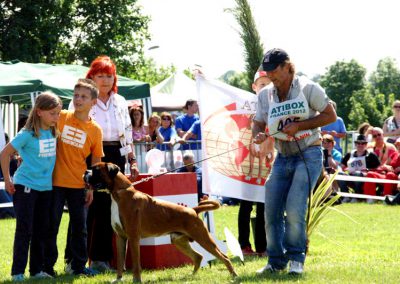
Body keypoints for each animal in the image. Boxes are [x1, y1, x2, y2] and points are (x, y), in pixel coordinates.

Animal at [83, 162, 236, 282]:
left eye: (96, 170)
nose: (85, 171)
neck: (119, 194)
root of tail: (193, 210)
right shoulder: (121, 237)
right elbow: (120, 262)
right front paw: (119, 279)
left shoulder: (133, 237)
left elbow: (136, 264)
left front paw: (136, 280)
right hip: (179, 240)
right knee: (198, 257)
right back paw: (191, 277)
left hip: (203, 238)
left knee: (224, 257)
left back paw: (234, 276)